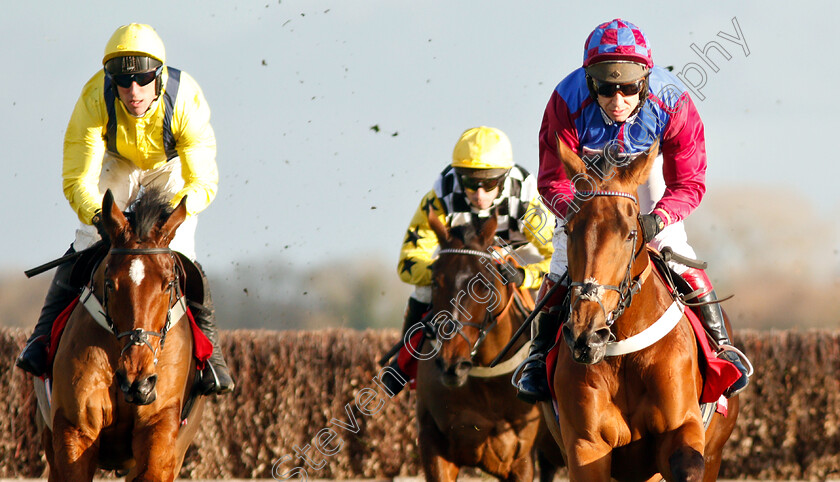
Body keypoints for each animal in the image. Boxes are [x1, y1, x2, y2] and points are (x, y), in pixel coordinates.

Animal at [414, 213, 556, 482]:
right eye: (436, 282)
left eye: (483, 285)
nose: (452, 364)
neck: (487, 379)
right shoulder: (433, 447)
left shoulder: (520, 460)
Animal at [552, 140, 740, 482]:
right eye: (569, 230)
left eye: (629, 233)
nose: (586, 334)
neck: (624, 351)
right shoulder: (585, 445)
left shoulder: (681, 429)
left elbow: (687, 465)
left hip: (716, 450)